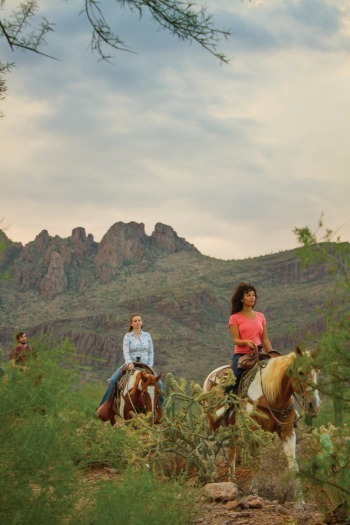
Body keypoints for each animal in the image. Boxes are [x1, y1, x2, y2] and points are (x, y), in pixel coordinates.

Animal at [202, 346, 320, 476]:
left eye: (317, 372)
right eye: (300, 372)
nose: (313, 404)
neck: (272, 396)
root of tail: (211, 376)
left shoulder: (287, 431)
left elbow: (293, 465)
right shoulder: (254, 432)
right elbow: (256, 464)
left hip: (234, 426)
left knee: (232, 449)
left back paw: (231, 476)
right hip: (212, 421)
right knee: (210, 444)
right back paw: (212, 474)